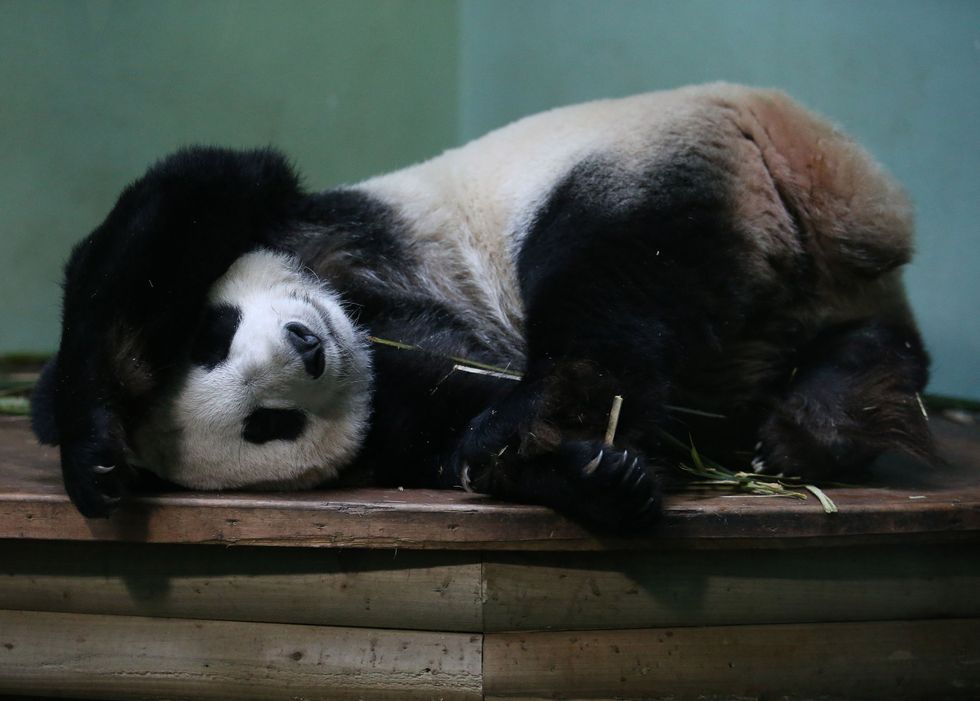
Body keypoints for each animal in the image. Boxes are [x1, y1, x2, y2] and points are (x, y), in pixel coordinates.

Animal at [32, 83, 936, 532]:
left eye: (211, 335)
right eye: (267, 425)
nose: (307, 348)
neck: (361, 320)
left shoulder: (310, 222)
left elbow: (197, 188)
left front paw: (93, 443)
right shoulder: (391, 402)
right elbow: (437, 426)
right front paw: (601, 480)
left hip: (658, 158)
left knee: (600, 269)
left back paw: (530, 417)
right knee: (862, 345)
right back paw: (831, 409)